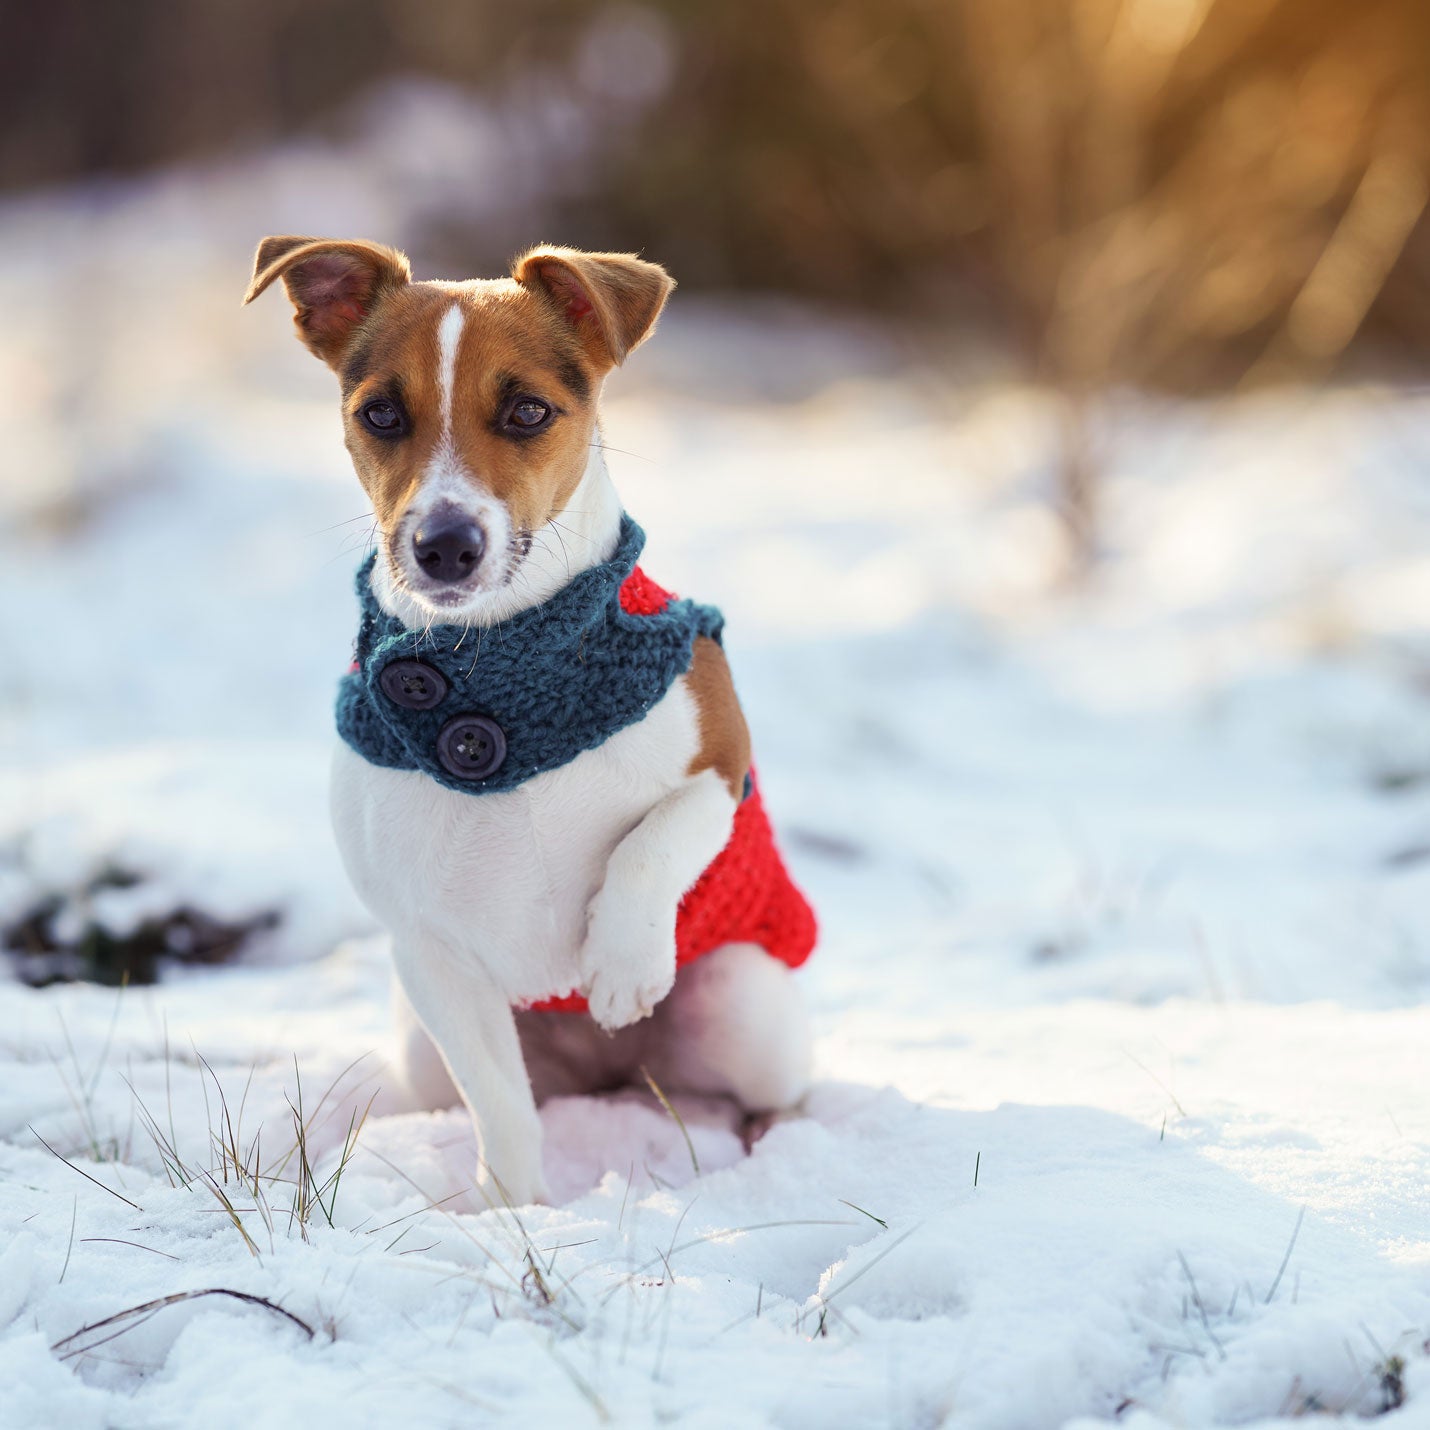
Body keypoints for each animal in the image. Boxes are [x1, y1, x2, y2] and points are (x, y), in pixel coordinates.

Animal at [247, 240, 823, 1201]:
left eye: (526, 411)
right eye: (380, 414)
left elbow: (653, 839)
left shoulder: (721, 759)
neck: (497, 657)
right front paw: (511, 1213)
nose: (445, 545)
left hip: (742, 1002)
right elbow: (503, 1111)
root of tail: (609, 1075)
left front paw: (622, 961)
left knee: (766, 1089)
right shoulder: (432, 956)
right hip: (425, 1047)